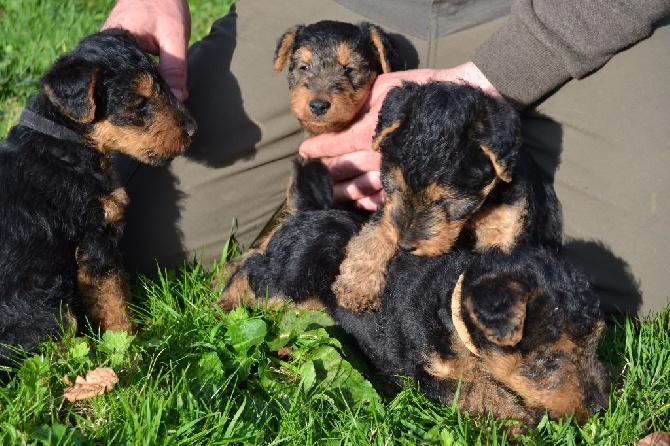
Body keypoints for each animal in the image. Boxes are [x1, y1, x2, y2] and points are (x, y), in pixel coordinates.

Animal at [0, 29, 197, 366]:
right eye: (138, 102)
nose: (193, 130)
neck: (63, 143)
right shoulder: (95, 243)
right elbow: (114, 301)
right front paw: (129, 348)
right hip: (48, 310)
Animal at [334, 81, 564, 310]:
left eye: (446, 201)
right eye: (395, 186)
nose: (405, 246)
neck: (475, 212)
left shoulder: (506, 227)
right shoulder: (389, 209)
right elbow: (373, 234)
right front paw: (357, 286)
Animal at [334, 249, 612, 426]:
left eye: (594, 344)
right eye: (549, 360)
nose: (600, 409)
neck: (454, 315)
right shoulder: (435, 371)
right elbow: (481, 394)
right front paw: (521, 425)